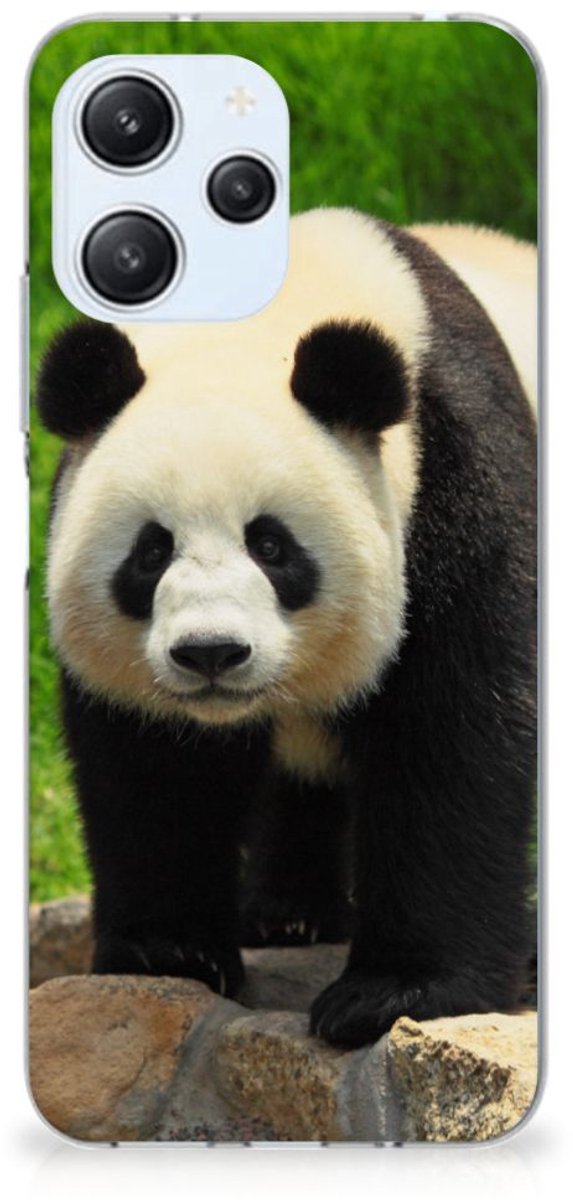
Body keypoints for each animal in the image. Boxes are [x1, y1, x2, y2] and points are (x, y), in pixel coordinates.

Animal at [36, 208, 537, 1050]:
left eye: (270, 546)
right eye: (150, 551)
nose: (210, 653)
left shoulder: (459, 480)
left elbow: (455, 733)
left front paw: (394, 993)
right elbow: (152, 765)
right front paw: (169, 952)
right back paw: (287, 914)